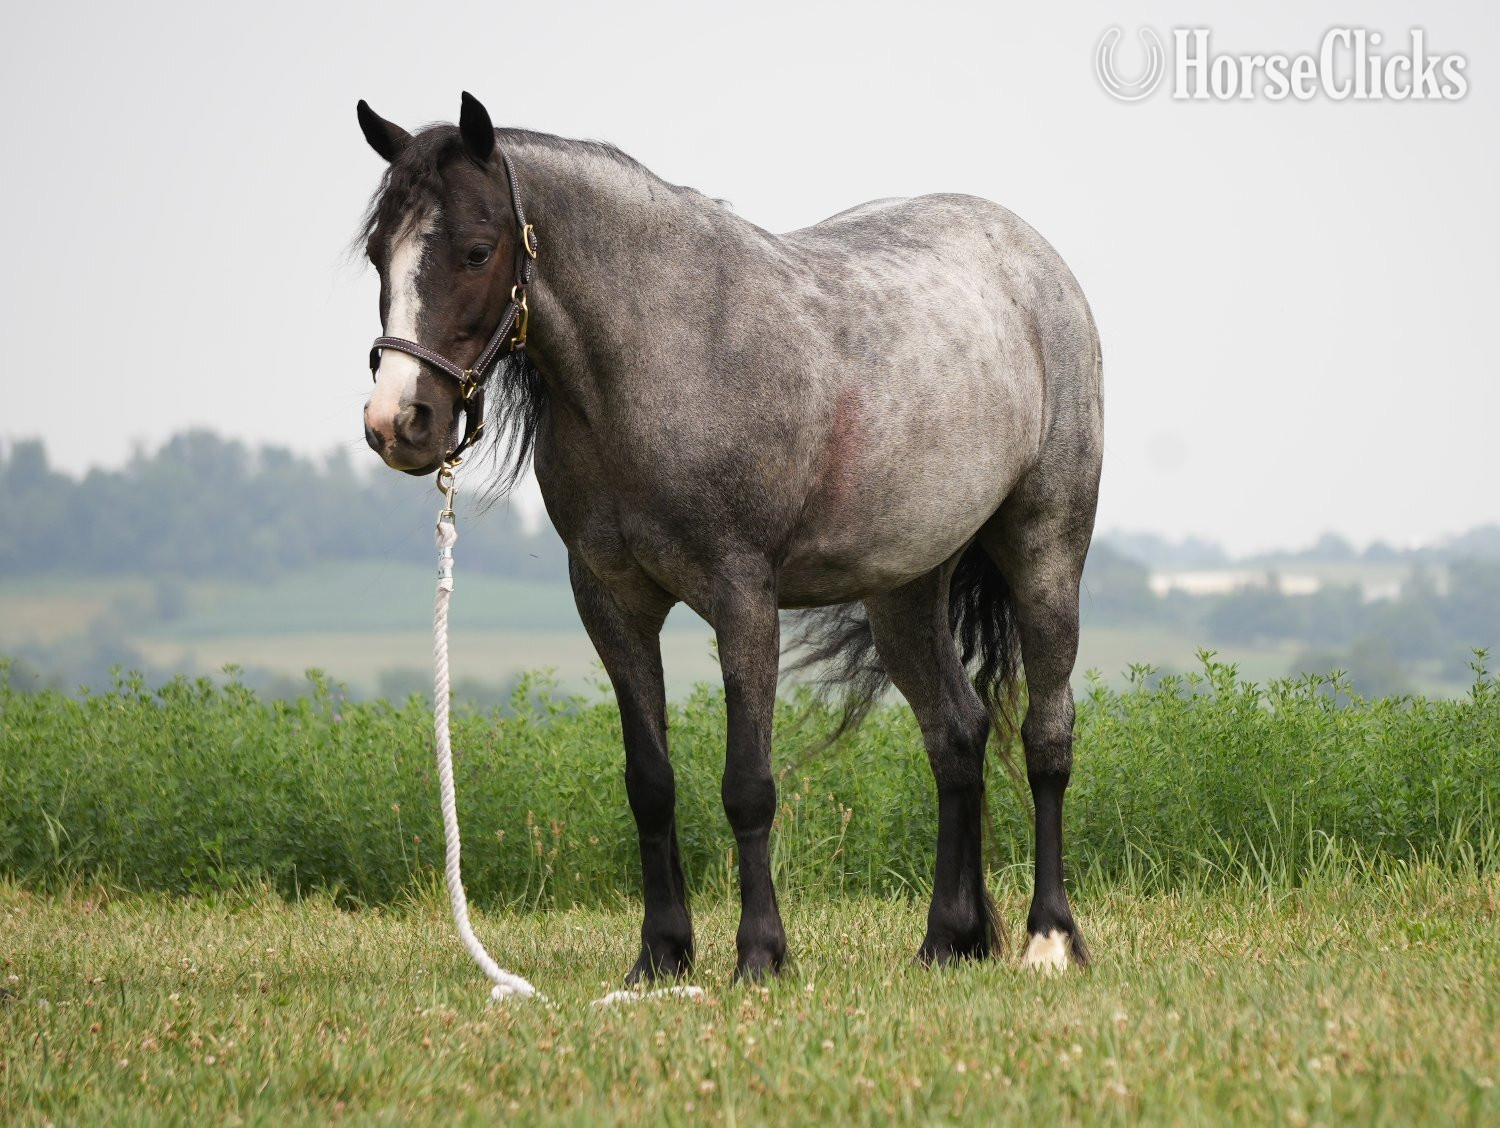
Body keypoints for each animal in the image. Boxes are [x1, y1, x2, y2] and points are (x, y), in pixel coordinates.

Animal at [355, 93, 1103, 982]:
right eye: (377, 255)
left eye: (475, 250)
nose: (398, 422)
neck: (667, 355)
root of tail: (1035, 260)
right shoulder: (611, 602)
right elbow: (650, 782)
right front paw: (661, 956)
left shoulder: (742, 596)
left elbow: (749, 784)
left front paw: (760, 956)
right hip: (907, 589)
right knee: (957, 734)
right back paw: (949, 940)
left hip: (1046, 554)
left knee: (1047, 738)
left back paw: (1048, 937)